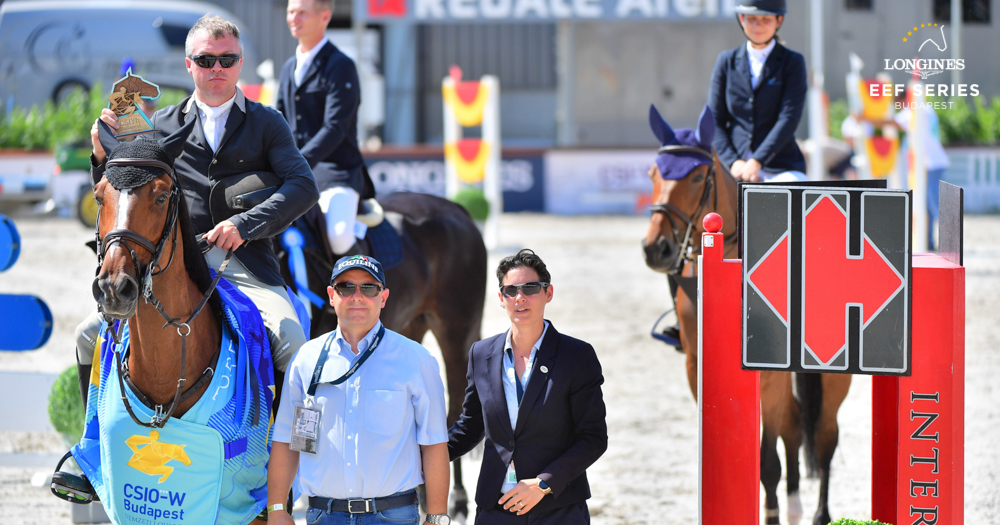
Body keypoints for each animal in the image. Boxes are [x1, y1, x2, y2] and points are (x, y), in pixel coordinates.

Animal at [640, 105, 852, 524]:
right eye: (654, 173)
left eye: (697, 176)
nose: (656, 249)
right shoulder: (696, 367)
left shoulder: (769, 375)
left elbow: (767, 460)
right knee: (794, 426)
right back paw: (794, 504)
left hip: (832, 380)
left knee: (823, 437)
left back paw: (818, 513)